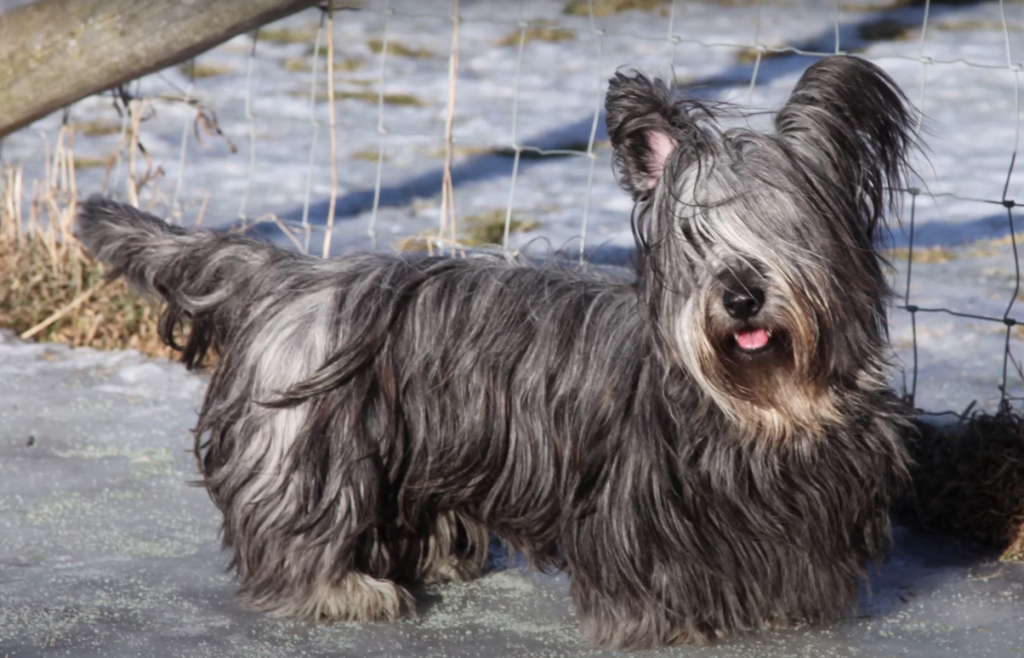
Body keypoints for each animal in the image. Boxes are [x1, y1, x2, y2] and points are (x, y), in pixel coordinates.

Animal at [75, 55, 917, 646]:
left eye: (783, 227)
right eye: (693, 235)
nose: (739, 296)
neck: (761, 408)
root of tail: (294, 274)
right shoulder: (638, 510)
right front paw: (666, 627)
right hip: (314, 450)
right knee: (297, 533)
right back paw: (346, 590)